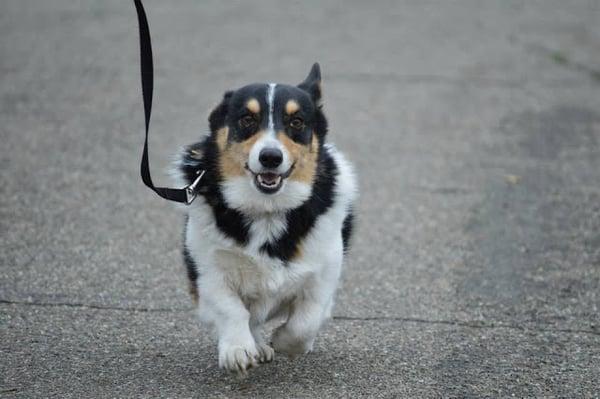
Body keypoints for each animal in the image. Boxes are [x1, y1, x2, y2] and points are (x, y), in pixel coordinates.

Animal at [173, 64, 356, 374]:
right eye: (247, 119)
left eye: (297, 122)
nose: (270, 157)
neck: (267, 209)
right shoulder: (208, 271)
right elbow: (231, 309)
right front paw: (238, 350)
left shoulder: (324, 273)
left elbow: (305, 321)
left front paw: (284, 342)